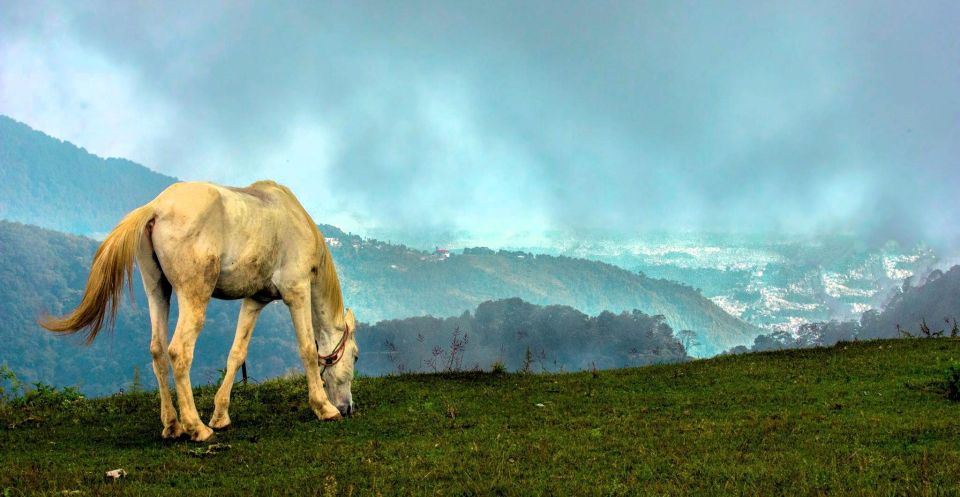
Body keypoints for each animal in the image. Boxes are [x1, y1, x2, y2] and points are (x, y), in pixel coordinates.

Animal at [39, 180, 358, 440]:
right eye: (355, 356)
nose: (348, 408)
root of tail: (156, 208)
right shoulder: (297, 291)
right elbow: (307, 349)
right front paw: (323, 408)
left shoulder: (254, 300)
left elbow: (236, 354)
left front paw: (221, 415)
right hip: (193, 296)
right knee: (179, 351)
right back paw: (196, 428)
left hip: (158, 290)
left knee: (158, 350)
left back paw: (173, 425)